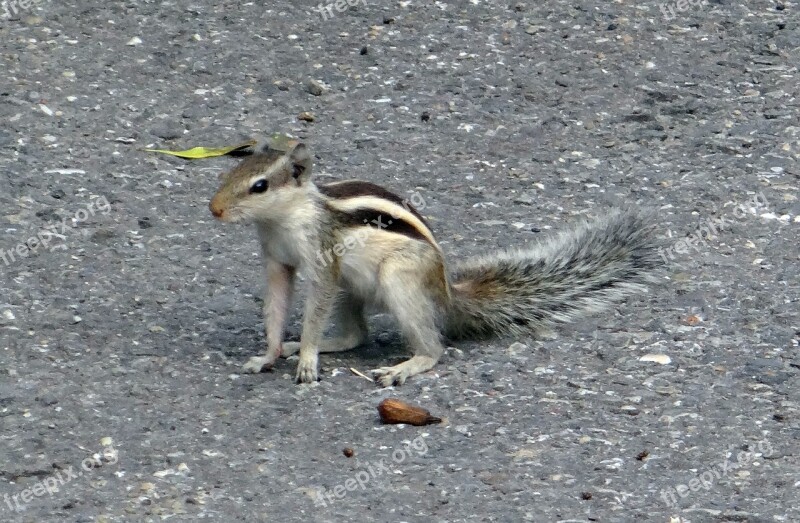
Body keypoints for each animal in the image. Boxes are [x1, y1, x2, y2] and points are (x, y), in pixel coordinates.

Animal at [209, 137, 660, 386]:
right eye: (228, 174)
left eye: (260, 186)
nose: (214, 209)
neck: (283, 219)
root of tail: (445, 292)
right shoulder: (276, 262)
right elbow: (276, 305)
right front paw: (270, 353)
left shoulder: (324, 261)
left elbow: (315, 305)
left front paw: (306, 359)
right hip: (353, 288)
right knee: (356, 335)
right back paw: (317, 344)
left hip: (399, 277)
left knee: (434, 348)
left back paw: (407, 365)